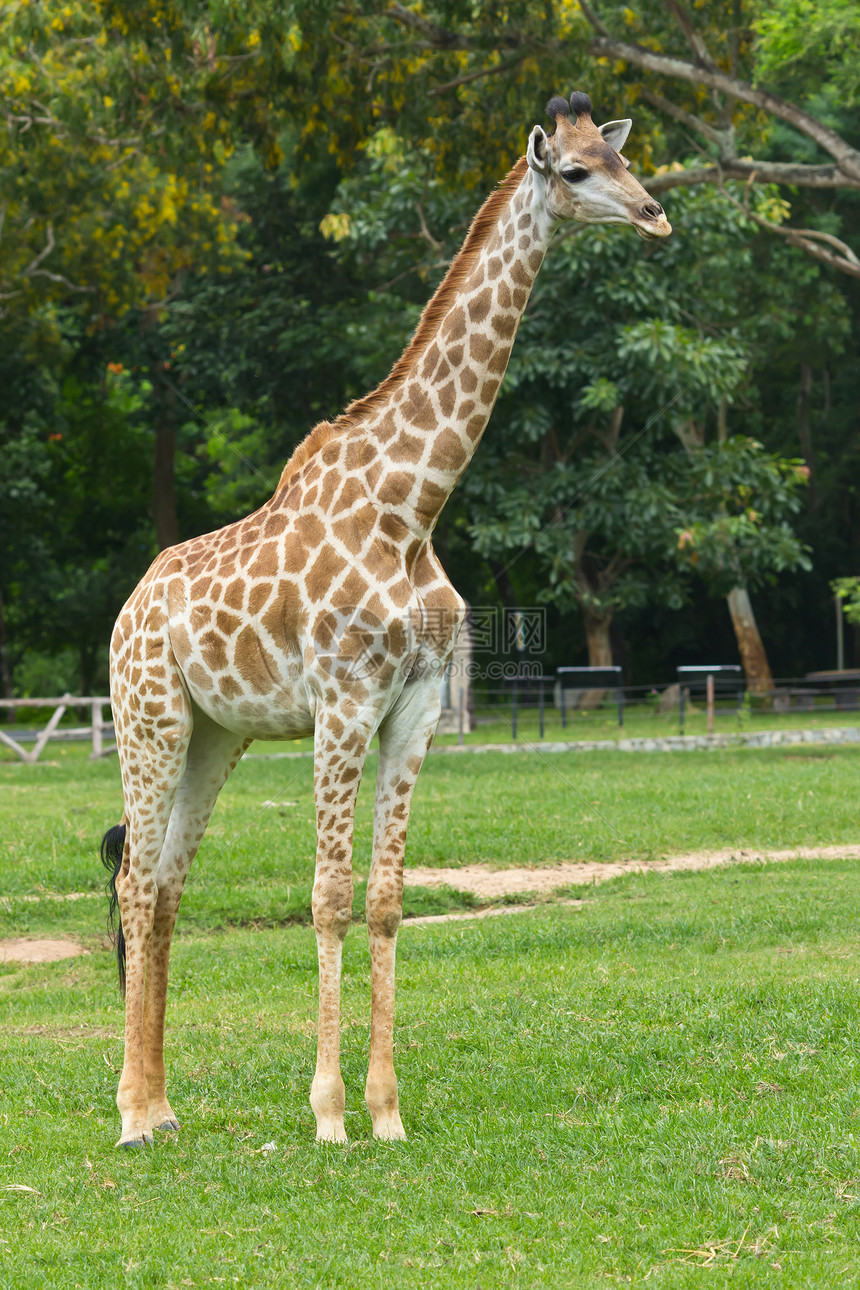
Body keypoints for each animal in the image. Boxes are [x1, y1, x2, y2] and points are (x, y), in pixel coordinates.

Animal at [101, 95, 670, 1155]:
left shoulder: (412, 711)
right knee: (132, 884)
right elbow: (327, 897)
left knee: (163, 886)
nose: (656, 216)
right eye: (575, 171)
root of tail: (127, 611)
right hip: (147, 719)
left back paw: (159, 1106)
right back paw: (127, 1115)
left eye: (623, 156)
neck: (413, 508)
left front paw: (386, 1111)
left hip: (214, 734)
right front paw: (328, 1114)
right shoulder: (341, 703)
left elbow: (386, 899)